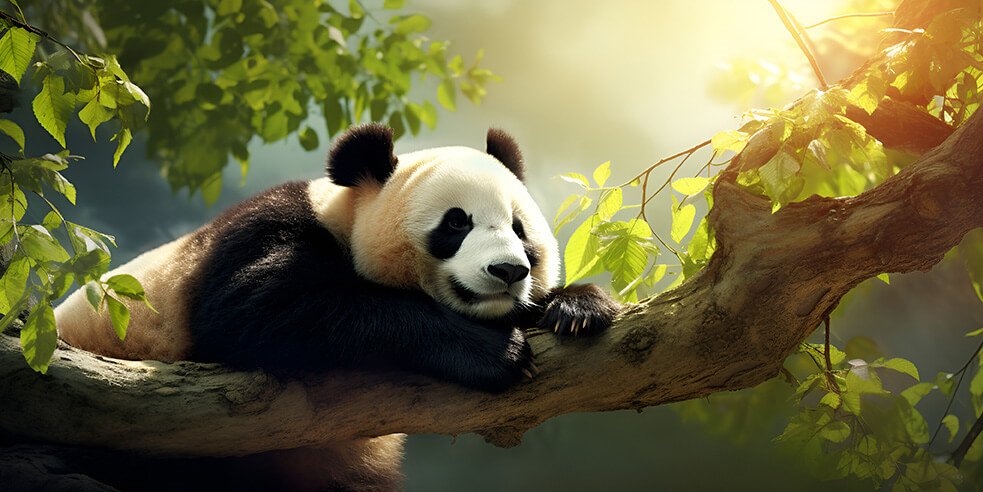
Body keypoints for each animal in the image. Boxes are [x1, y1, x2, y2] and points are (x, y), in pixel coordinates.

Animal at [54, 124, 621, 490]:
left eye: (519, 229)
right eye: (457, 222)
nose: (508, 271)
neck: (344, 220)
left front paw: (575, 309)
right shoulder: (260, 232)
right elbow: (260, 309)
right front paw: (493, 353)